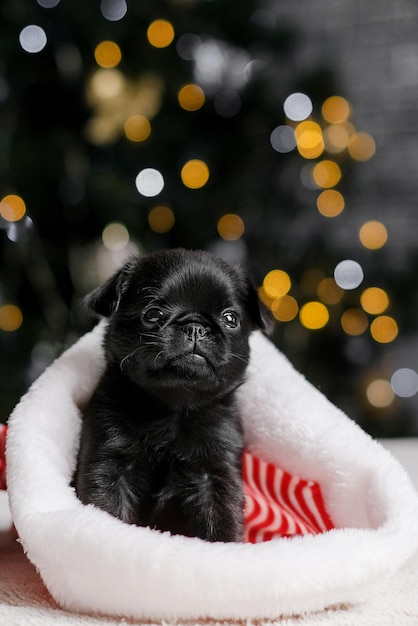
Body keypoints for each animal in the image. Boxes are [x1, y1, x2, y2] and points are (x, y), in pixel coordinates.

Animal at [74, 249, 272, 540]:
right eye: (153, 313)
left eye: (230, 319)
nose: (195, 326)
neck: (172, 408)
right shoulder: (110, 466)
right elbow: (109, 510)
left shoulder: (214, 475)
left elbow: (220, 523)